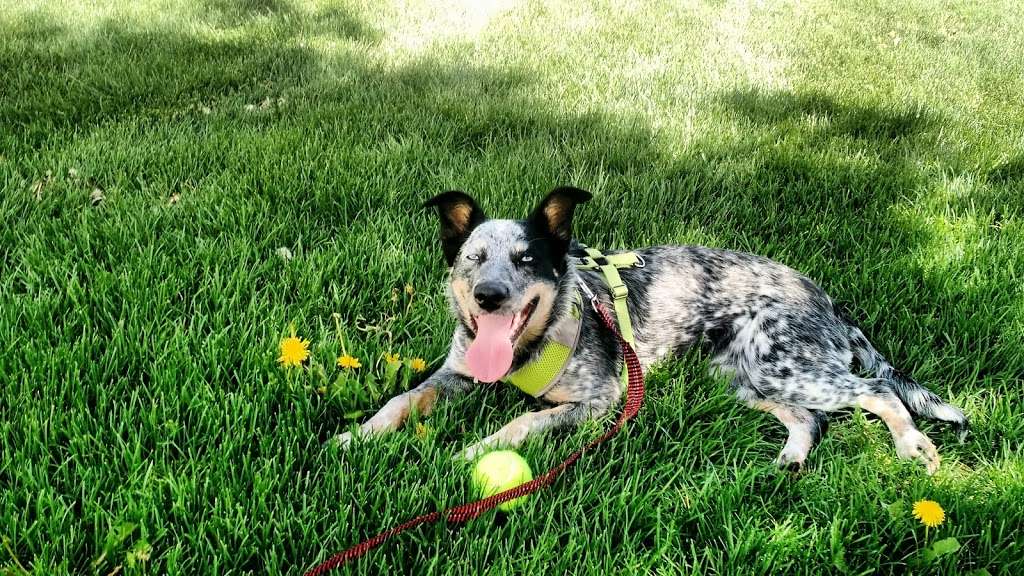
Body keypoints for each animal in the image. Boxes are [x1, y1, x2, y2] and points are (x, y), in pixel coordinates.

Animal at [337, 186, 966, 469]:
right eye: (473, 257)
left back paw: (913, 442)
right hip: (742, 378)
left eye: (527, 258)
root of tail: (824, 298)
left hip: (781, 363)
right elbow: (402, 401)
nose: (490, 295)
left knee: (877, 389)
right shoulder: (455, 373)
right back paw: (791, 456)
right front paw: (358, 436)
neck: (527, 351)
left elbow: (522, 422)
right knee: (810, 418)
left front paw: (473, 452)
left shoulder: (597, 402)